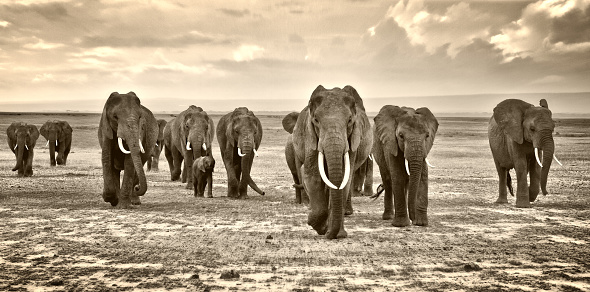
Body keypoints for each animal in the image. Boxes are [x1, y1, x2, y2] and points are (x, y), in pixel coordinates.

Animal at [292, 85, 372, 240]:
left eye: (349, 121)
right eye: (316, 120)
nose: (328, 234)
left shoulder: (352, 141)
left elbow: (344, 179)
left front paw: (335, 233)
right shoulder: (311, 138)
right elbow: (313, 177)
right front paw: (319, 225)